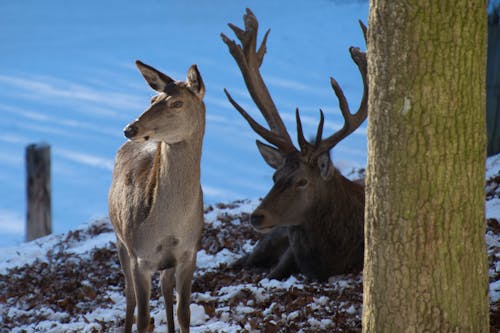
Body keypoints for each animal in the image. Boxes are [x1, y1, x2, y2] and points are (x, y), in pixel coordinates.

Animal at [108, 60, 205, 332]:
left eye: (177, 103)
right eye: (153, 99)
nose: (130, 128)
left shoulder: (189, 252)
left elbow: (184, 313)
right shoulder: (139, 257)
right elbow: (142, 318)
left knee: (165, 289)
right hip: (120, 241)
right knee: (129, 297)